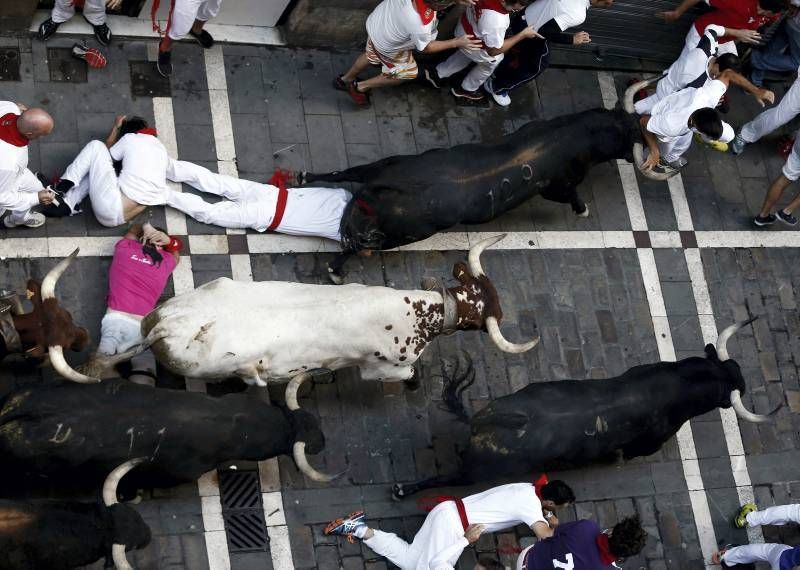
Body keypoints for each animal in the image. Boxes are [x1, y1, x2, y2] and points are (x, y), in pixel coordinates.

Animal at [304, 108, 640, 272]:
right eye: (626, 133)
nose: (632, 152)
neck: (575, 133)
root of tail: (388, 189)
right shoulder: (558, 186)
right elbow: (571, 195)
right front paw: (583, 210)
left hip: (385, 165)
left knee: (348, 172)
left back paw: (305, 176)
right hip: (404, 234)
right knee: (357, 247)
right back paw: (335, 270)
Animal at [394, 322, 776, 494]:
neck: (679, 386)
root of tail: (488, 420)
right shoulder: (648, 443)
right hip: (479, 473)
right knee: (451, 478)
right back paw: (404, 489)